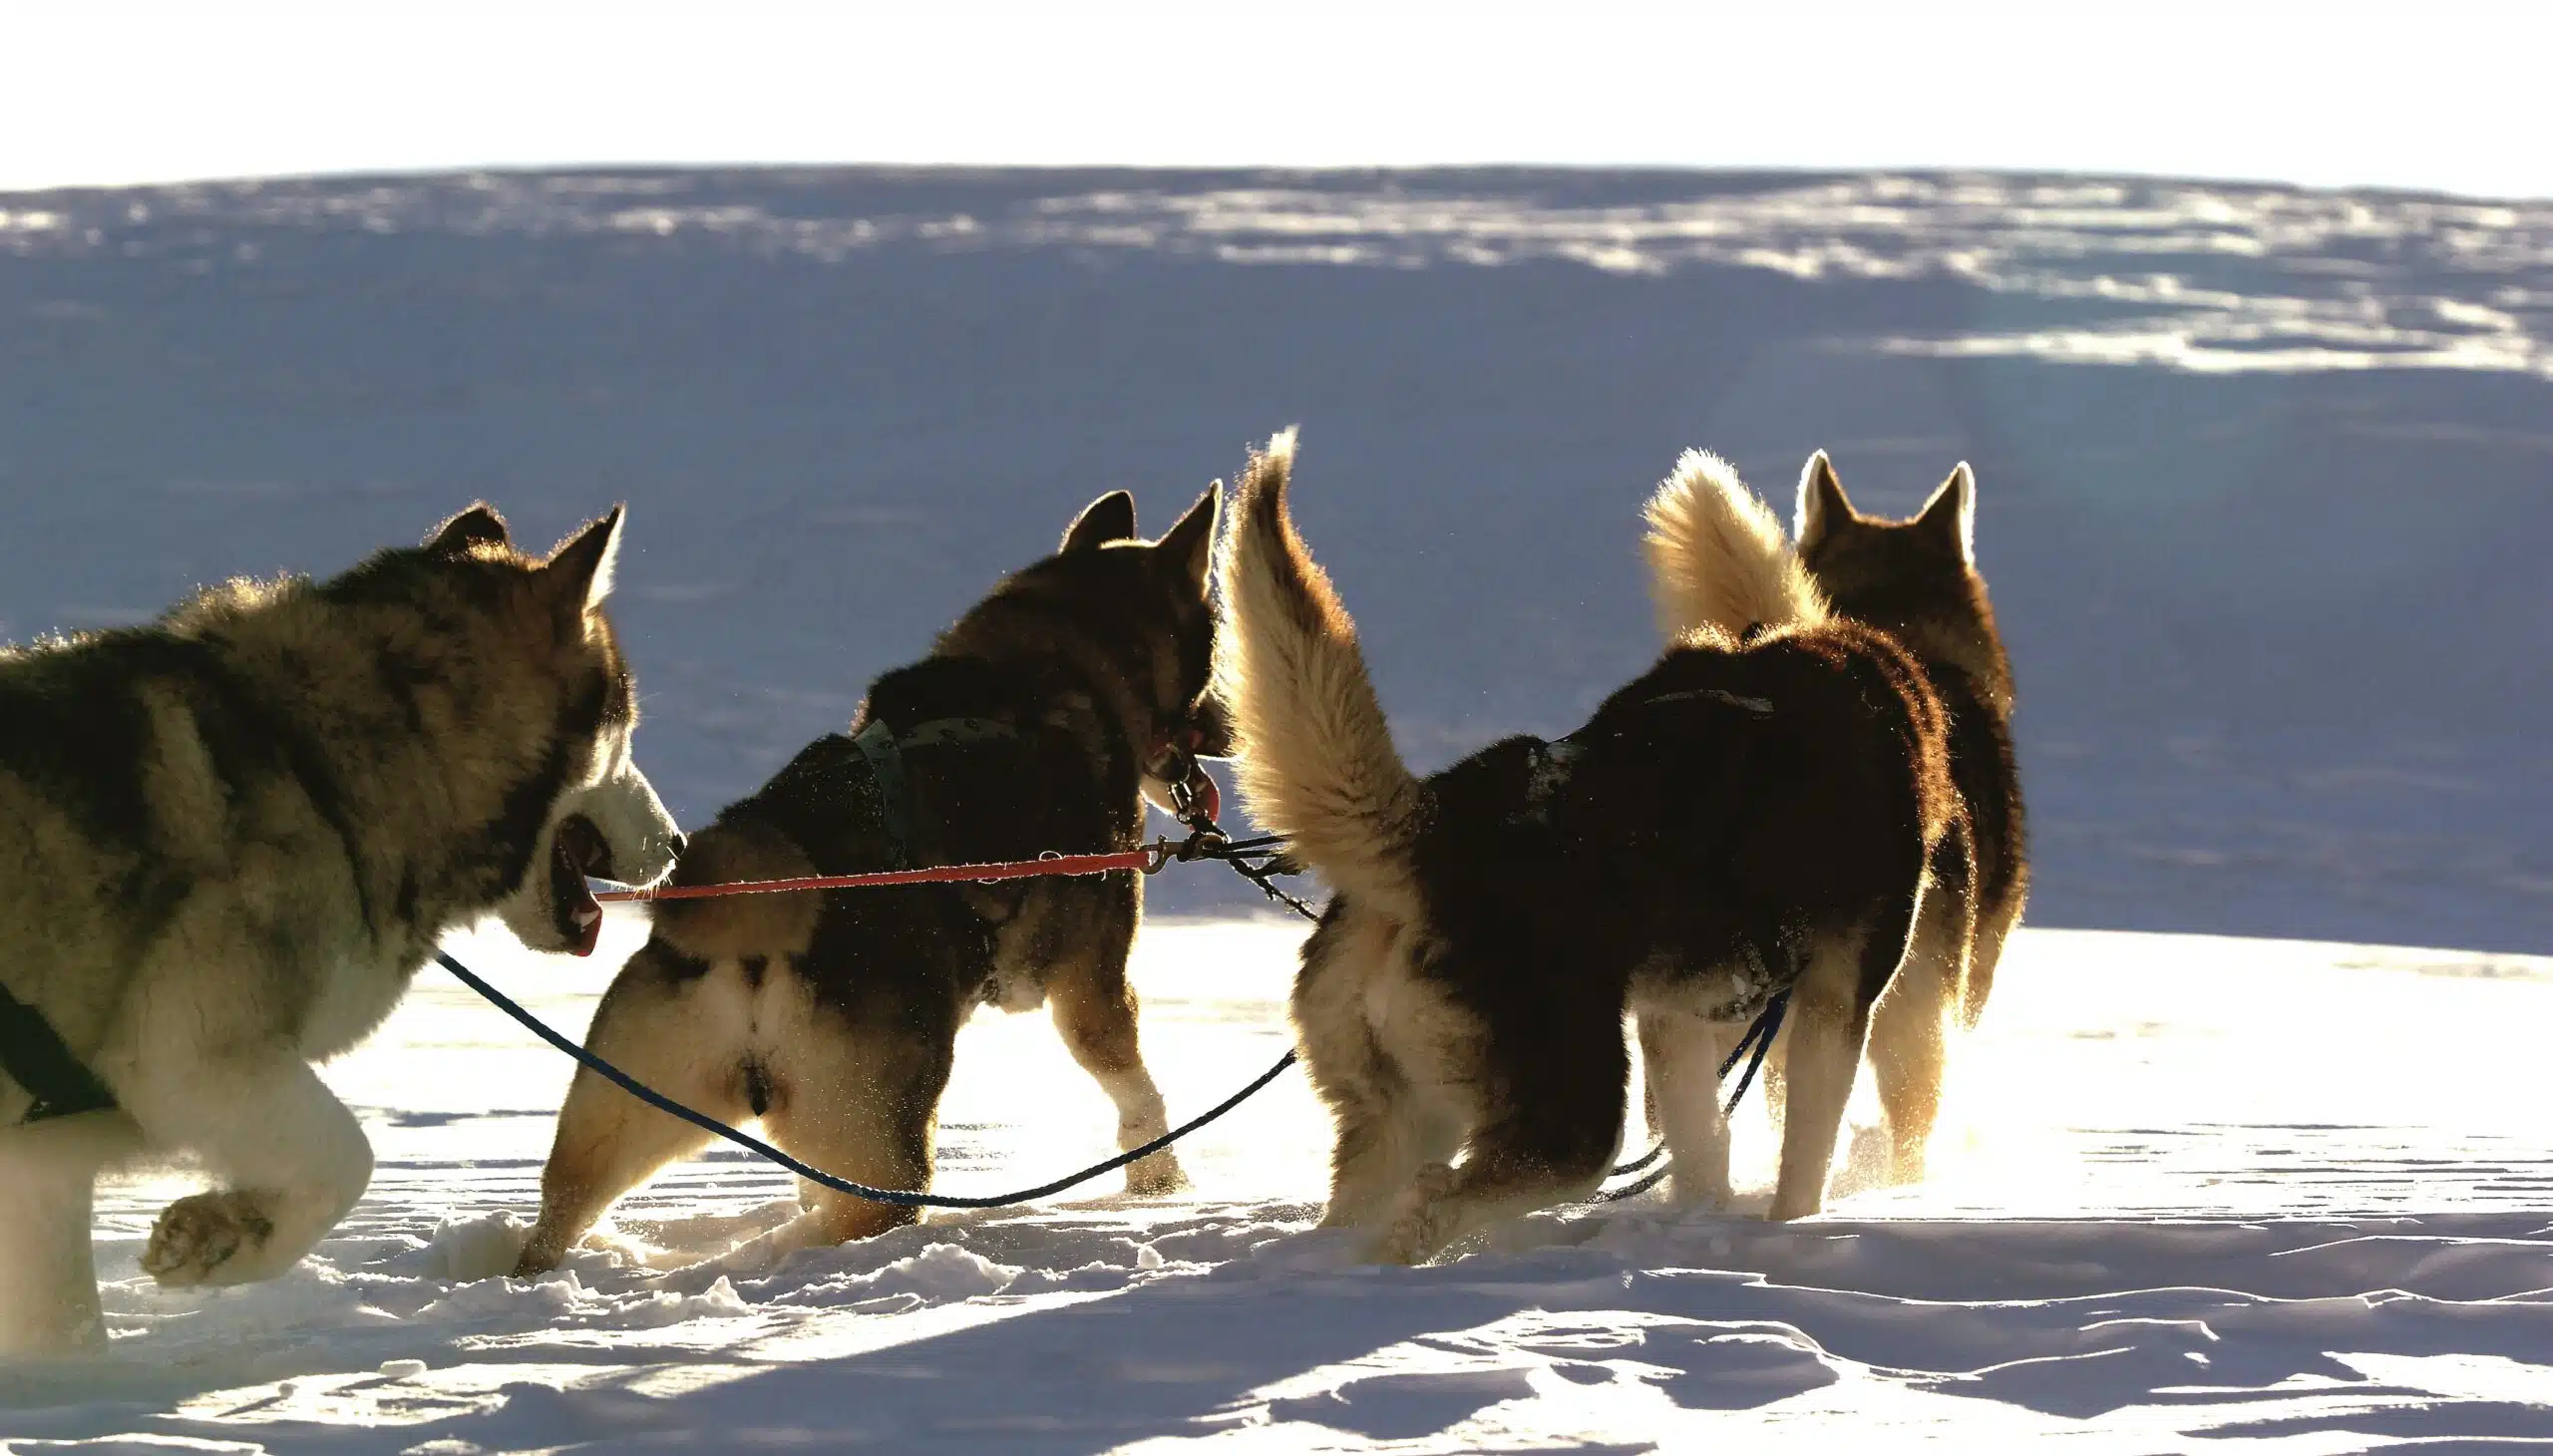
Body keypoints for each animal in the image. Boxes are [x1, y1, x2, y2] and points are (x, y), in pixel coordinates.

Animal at [0, 508, 684, 1348]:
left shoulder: (40, 1159)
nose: (678, 844)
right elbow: (349, 1158)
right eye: (628, 727)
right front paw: (226, 1239)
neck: (319, 767)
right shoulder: (187, 1059)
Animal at [513, 483, 1230, 1262]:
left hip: (624, 1118)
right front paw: (1161, 1186)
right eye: (1215, 651)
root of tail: (756, 932)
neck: (1048, 664)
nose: (1230, 729)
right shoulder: (1092, 984)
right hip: (883, 1162)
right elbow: (1135, 1091)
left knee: (556, 1225)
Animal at [1215, 434, 1950, 1257]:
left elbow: (1703, 1146)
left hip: (1404, 1111)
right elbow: (1805, 1157)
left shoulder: (1676, 1018)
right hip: (1573, 1124)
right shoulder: (1834, 1004)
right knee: (1441, 1202)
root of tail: (1441, 831)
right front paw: (1789, 1232)